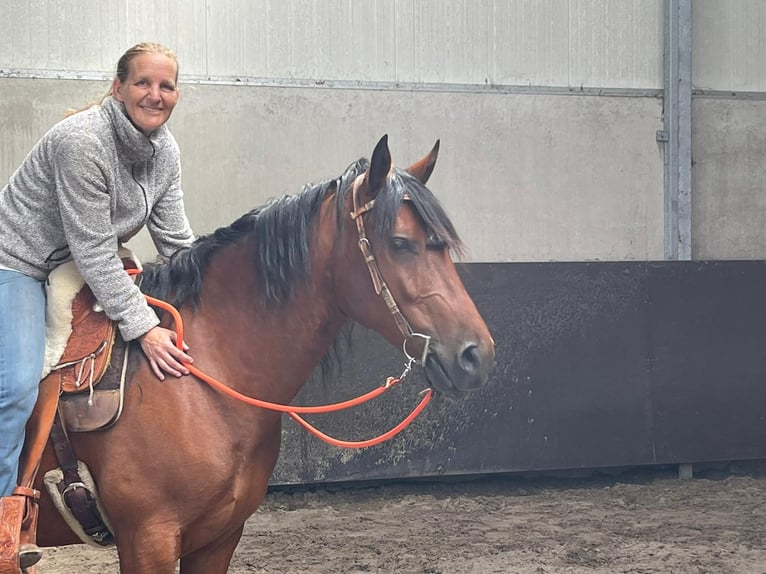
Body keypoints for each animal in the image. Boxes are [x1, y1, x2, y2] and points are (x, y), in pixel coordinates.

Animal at [33, 135, 496, 572]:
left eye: (443, 245)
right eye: (400, 243)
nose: (477, 355)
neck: (206, 374)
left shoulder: (218, 537)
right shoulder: (149, 540)